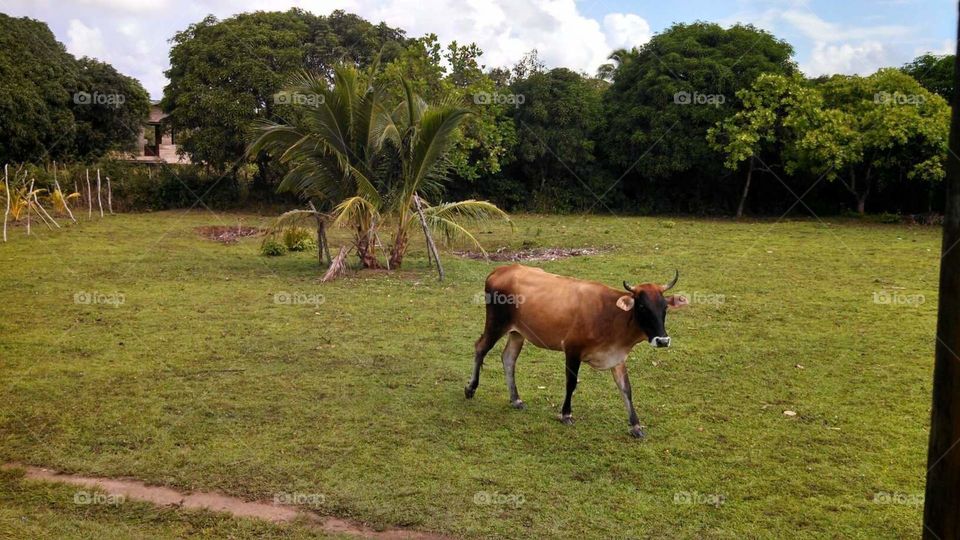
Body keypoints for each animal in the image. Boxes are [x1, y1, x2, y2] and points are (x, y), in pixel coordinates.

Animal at [464, 264, 688, 438]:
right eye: (642, 307)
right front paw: (566, 414)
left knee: (508, 359)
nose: (662, 340)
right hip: (496, 323)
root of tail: (501, 269)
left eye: (664, 308)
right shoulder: (572, 349)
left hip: (517, 332)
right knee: (480, 347)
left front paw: (635, 425)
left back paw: (516, 399)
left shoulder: (617, 357)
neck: (610, 315)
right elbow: (571, 383)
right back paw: (470, 388)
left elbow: (626, 389)